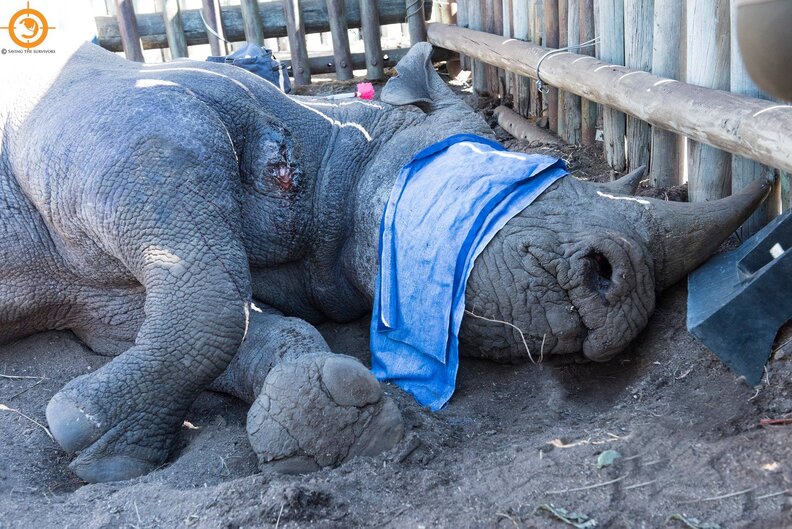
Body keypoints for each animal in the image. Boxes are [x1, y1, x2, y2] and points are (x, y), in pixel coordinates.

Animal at [0, 42, 770, 483]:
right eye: (524, 179)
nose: (626, 286)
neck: (346, 154)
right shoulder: (123, 127)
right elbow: (216, 302)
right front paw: (81, 428)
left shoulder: (102, 291)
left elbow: (227, 316)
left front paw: (326, 419)